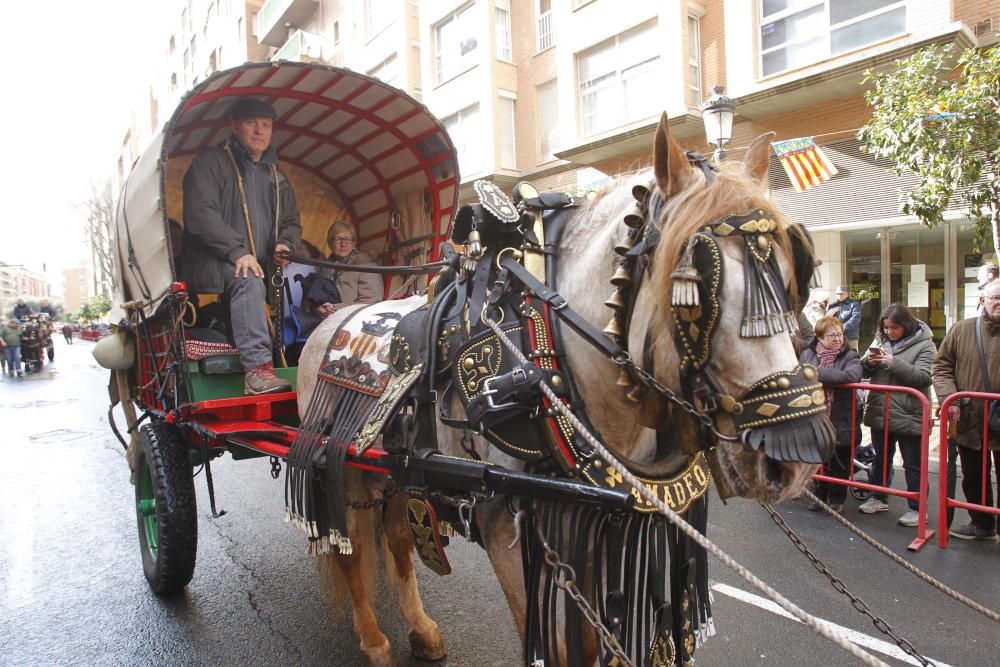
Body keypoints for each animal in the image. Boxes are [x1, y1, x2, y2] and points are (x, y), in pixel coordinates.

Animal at [294, 112, 836, 664]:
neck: (551, 347)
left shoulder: (595, 523)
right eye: (693, 292)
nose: (796, 457)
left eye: (795, 279)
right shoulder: (505, 524)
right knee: (350, 546)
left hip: (395, 472)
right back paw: (372, 638)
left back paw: (421, 629)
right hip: (342, 465)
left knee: (399, 536)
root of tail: (331, 321)